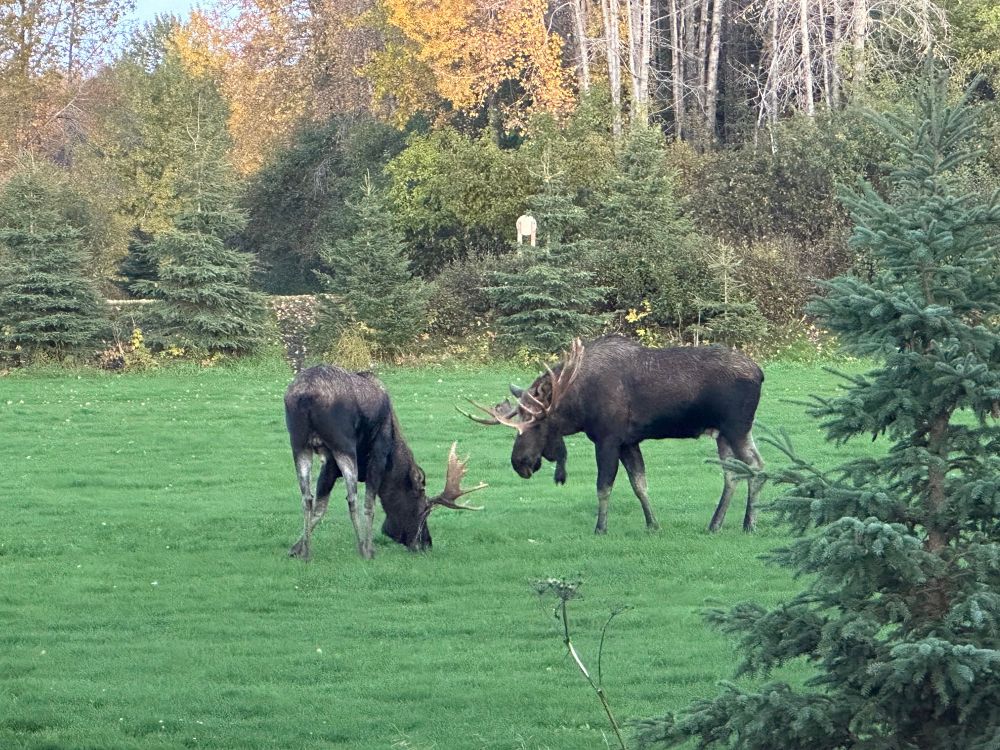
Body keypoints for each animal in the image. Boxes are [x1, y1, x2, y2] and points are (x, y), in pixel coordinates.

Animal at [285, 365, 485, 560]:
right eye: (425, 509)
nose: (426, 544)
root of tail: (306, 396)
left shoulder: (329, 465)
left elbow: (320, 507)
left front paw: (297, 548)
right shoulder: (378, 455)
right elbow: (369, 504)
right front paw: (370, 548)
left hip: (298, 443)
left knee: (307, 497)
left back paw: (307, 553)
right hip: (343, 445)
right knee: (352, 498)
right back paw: (363, 549)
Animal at [461, 335, 764, 534]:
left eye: (536, 423)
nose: (519, 462)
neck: (577, 408)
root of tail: (760, 373)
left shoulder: (607, 439)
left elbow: (603, 486)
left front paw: (600, 527)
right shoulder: (629, 442)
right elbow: (640, 484)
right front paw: (652, 524)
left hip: (736, 427)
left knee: (756, 466)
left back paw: (749, 524)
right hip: (724, 432)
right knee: (733, 473)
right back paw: (715, 524)